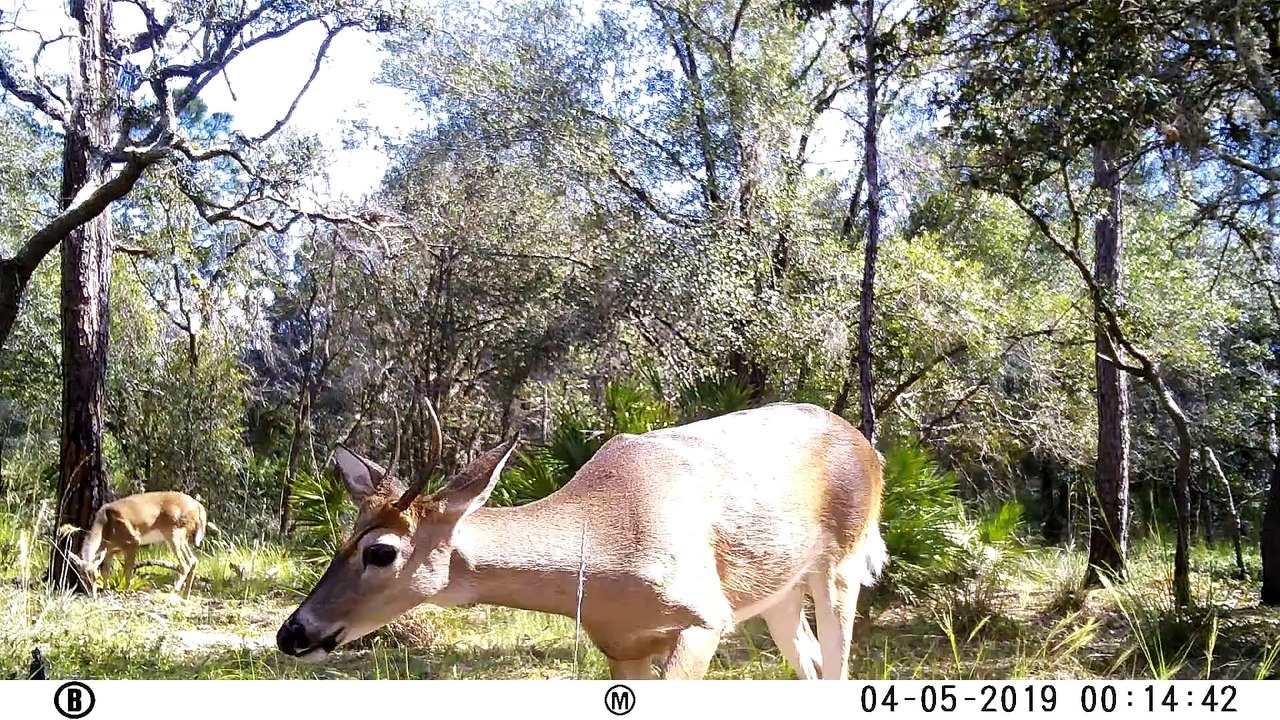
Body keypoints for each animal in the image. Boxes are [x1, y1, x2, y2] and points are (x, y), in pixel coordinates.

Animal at [68, 491, 211, 599]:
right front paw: (105, 589)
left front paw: (126, 590)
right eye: (81, 577)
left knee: (185, 563)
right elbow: (106, 570)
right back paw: (185, 595)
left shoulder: (133, 541)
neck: (105, 528)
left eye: (95, 576)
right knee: (194, 560)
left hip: (175, 531)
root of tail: (199, 506)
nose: (91, 595)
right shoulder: (109, 550)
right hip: (182, 536)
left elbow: (128, 570)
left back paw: (173, 591)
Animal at [277, 399, 887, 680]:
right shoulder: (622, 644)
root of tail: (870, 449)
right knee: (810, 662)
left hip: (842, 565)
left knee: (837, 667)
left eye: (380, 551)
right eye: (342, 538)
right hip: (776, 594)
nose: (292, 632)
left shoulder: (705, 618)